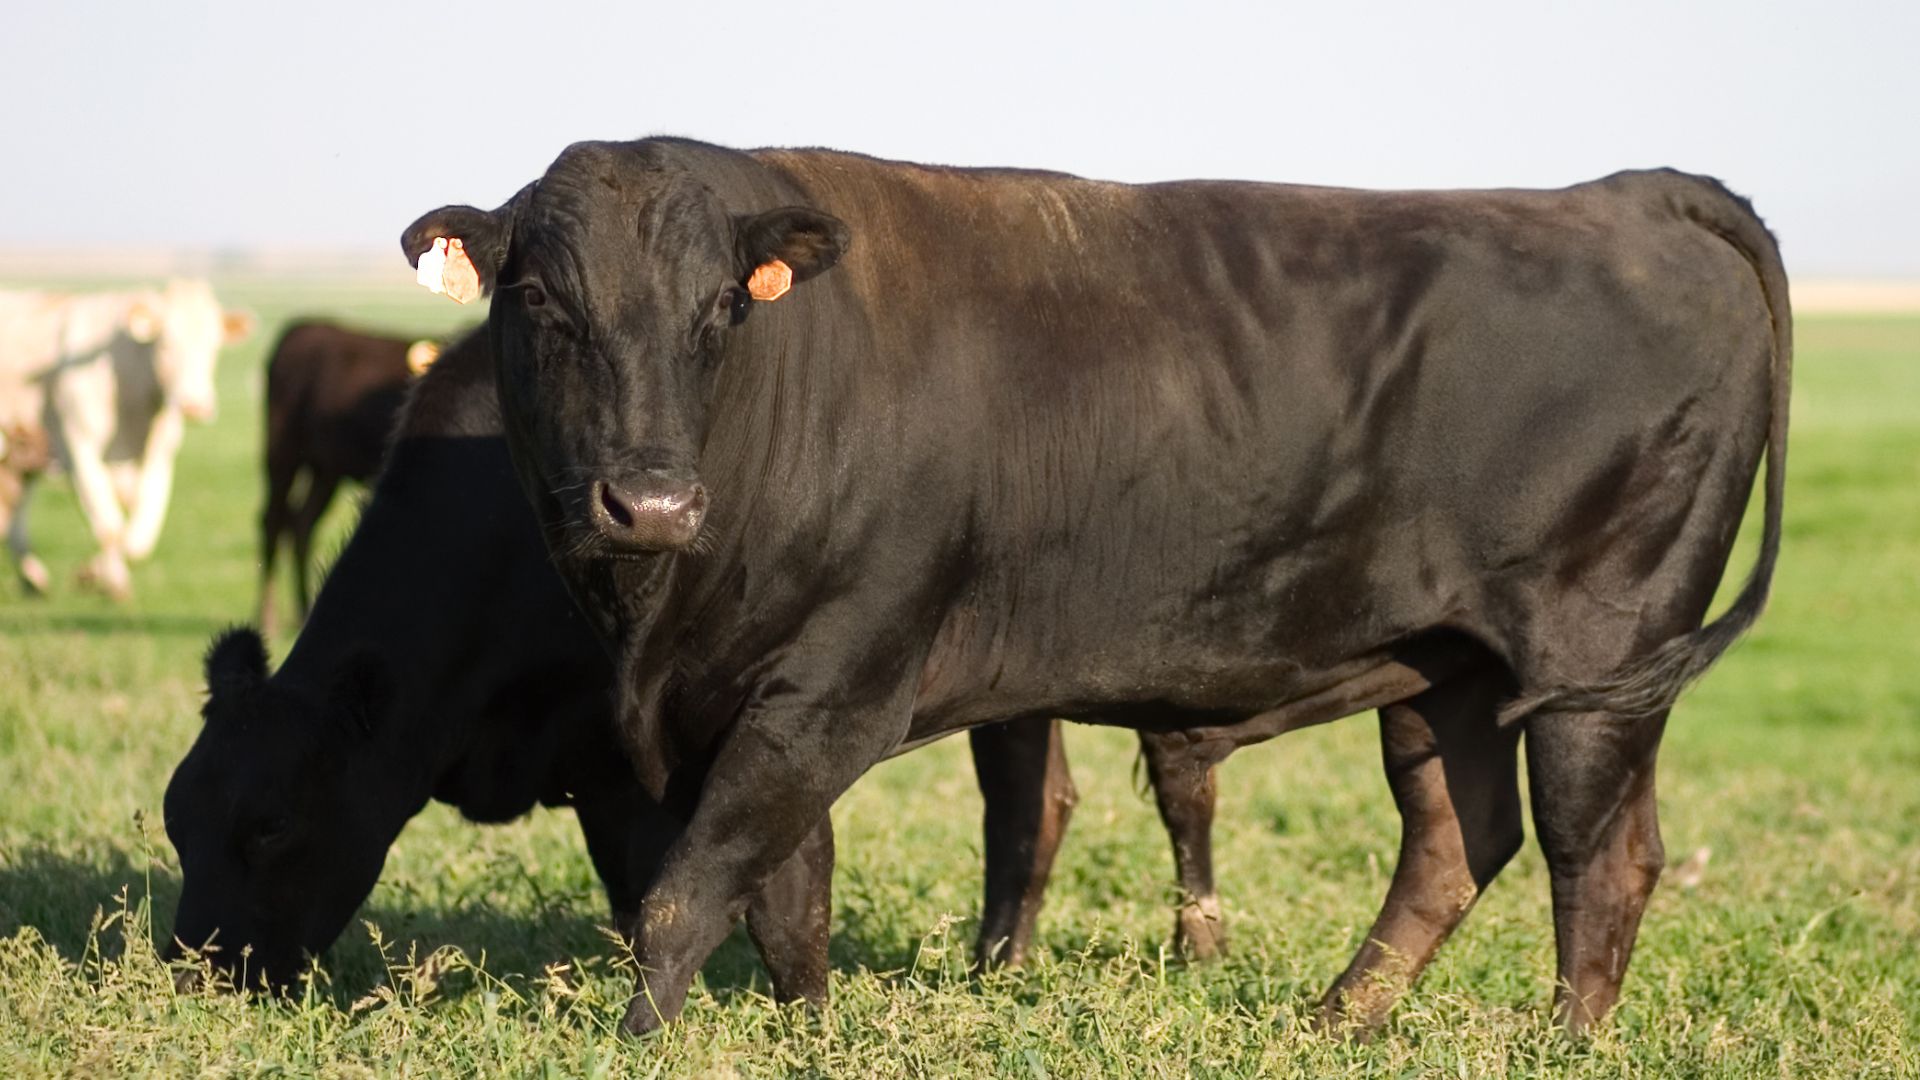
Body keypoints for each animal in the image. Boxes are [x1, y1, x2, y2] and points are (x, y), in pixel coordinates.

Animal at [0, 281, 252, 599]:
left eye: (213, 347)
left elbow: (140, 536)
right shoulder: (79, 449)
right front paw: (113, 583)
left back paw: (33, 579)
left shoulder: (159, 456)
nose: (194, 406)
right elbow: (110, 527)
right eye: (165, 344)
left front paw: (92, 572)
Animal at [257, 321, 450, 632]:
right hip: (282, 454)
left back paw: (304, 611)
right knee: (273, 523)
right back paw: (267, 618)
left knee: (301, 523)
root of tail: (300, 328)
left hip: (325, 470)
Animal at [405, 139, 1789, 1037]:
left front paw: (637, 1044)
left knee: (1599, 853)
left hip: (1596, 660)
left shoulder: (831, 686)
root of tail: (1630, 196)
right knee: (1459, 836)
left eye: (716, 315)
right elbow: (787, 906)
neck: (655, 622)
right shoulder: (735, 701)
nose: (650, 503)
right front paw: (809, 1039)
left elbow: (686, 896)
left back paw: (1565, 1040)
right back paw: (1338, 1018)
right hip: (1449, 670)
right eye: (542, 299)